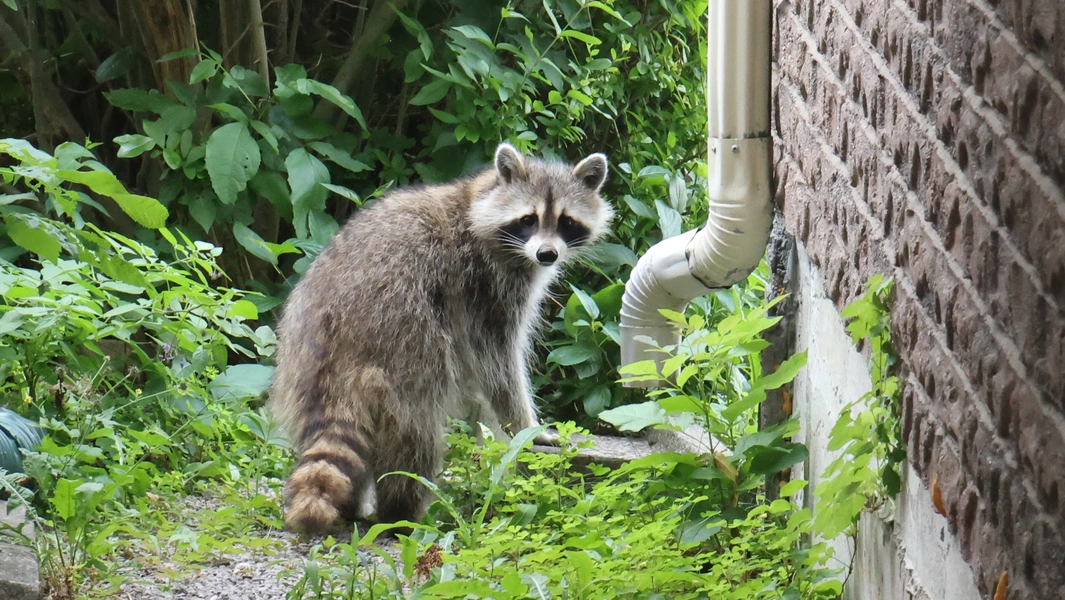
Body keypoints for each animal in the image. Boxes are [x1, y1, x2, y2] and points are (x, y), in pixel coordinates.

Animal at [269, 143, 613, 534]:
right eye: (529, 219)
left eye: (566, 221)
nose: (547, 254)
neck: (477, 199)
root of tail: (335, 343)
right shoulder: (483, 282)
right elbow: (497, 363)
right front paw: (525, 426)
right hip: (405, 340)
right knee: (417, 434)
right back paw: (402, 512)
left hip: (296, 362)